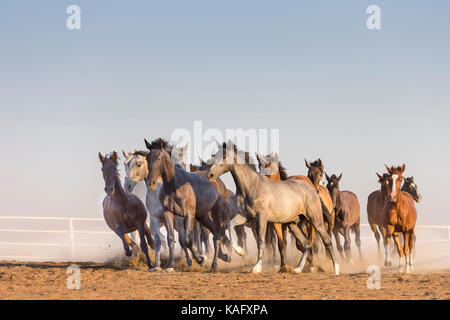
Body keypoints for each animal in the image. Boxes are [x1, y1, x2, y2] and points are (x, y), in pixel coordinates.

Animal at [143, 138, 230, 272]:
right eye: (147, 158)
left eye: (159, 158)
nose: (150, 182)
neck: (174, 185)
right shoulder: (168, 212)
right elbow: (171, 239)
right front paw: (169, 266)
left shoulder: (188, 214)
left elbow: (188, 240)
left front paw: (201, 260)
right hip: (202, 216)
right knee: (214, 231)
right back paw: (223, 256)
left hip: (216, 212)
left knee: (217, 233)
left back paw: (214, 265)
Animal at [206, 141, 340, 276]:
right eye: (214, 155)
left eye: (224, 156)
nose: (210, 175)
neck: (251, 186)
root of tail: (312, 189)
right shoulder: (246, 216)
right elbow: (230, 225)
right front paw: (240, 251)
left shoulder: (261, 218)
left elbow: (261, 242)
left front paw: (256, 268)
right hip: (292, 224)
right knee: (306, 244)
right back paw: (298, 269)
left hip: (315, 221)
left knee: (326, 240)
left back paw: (336, 269)